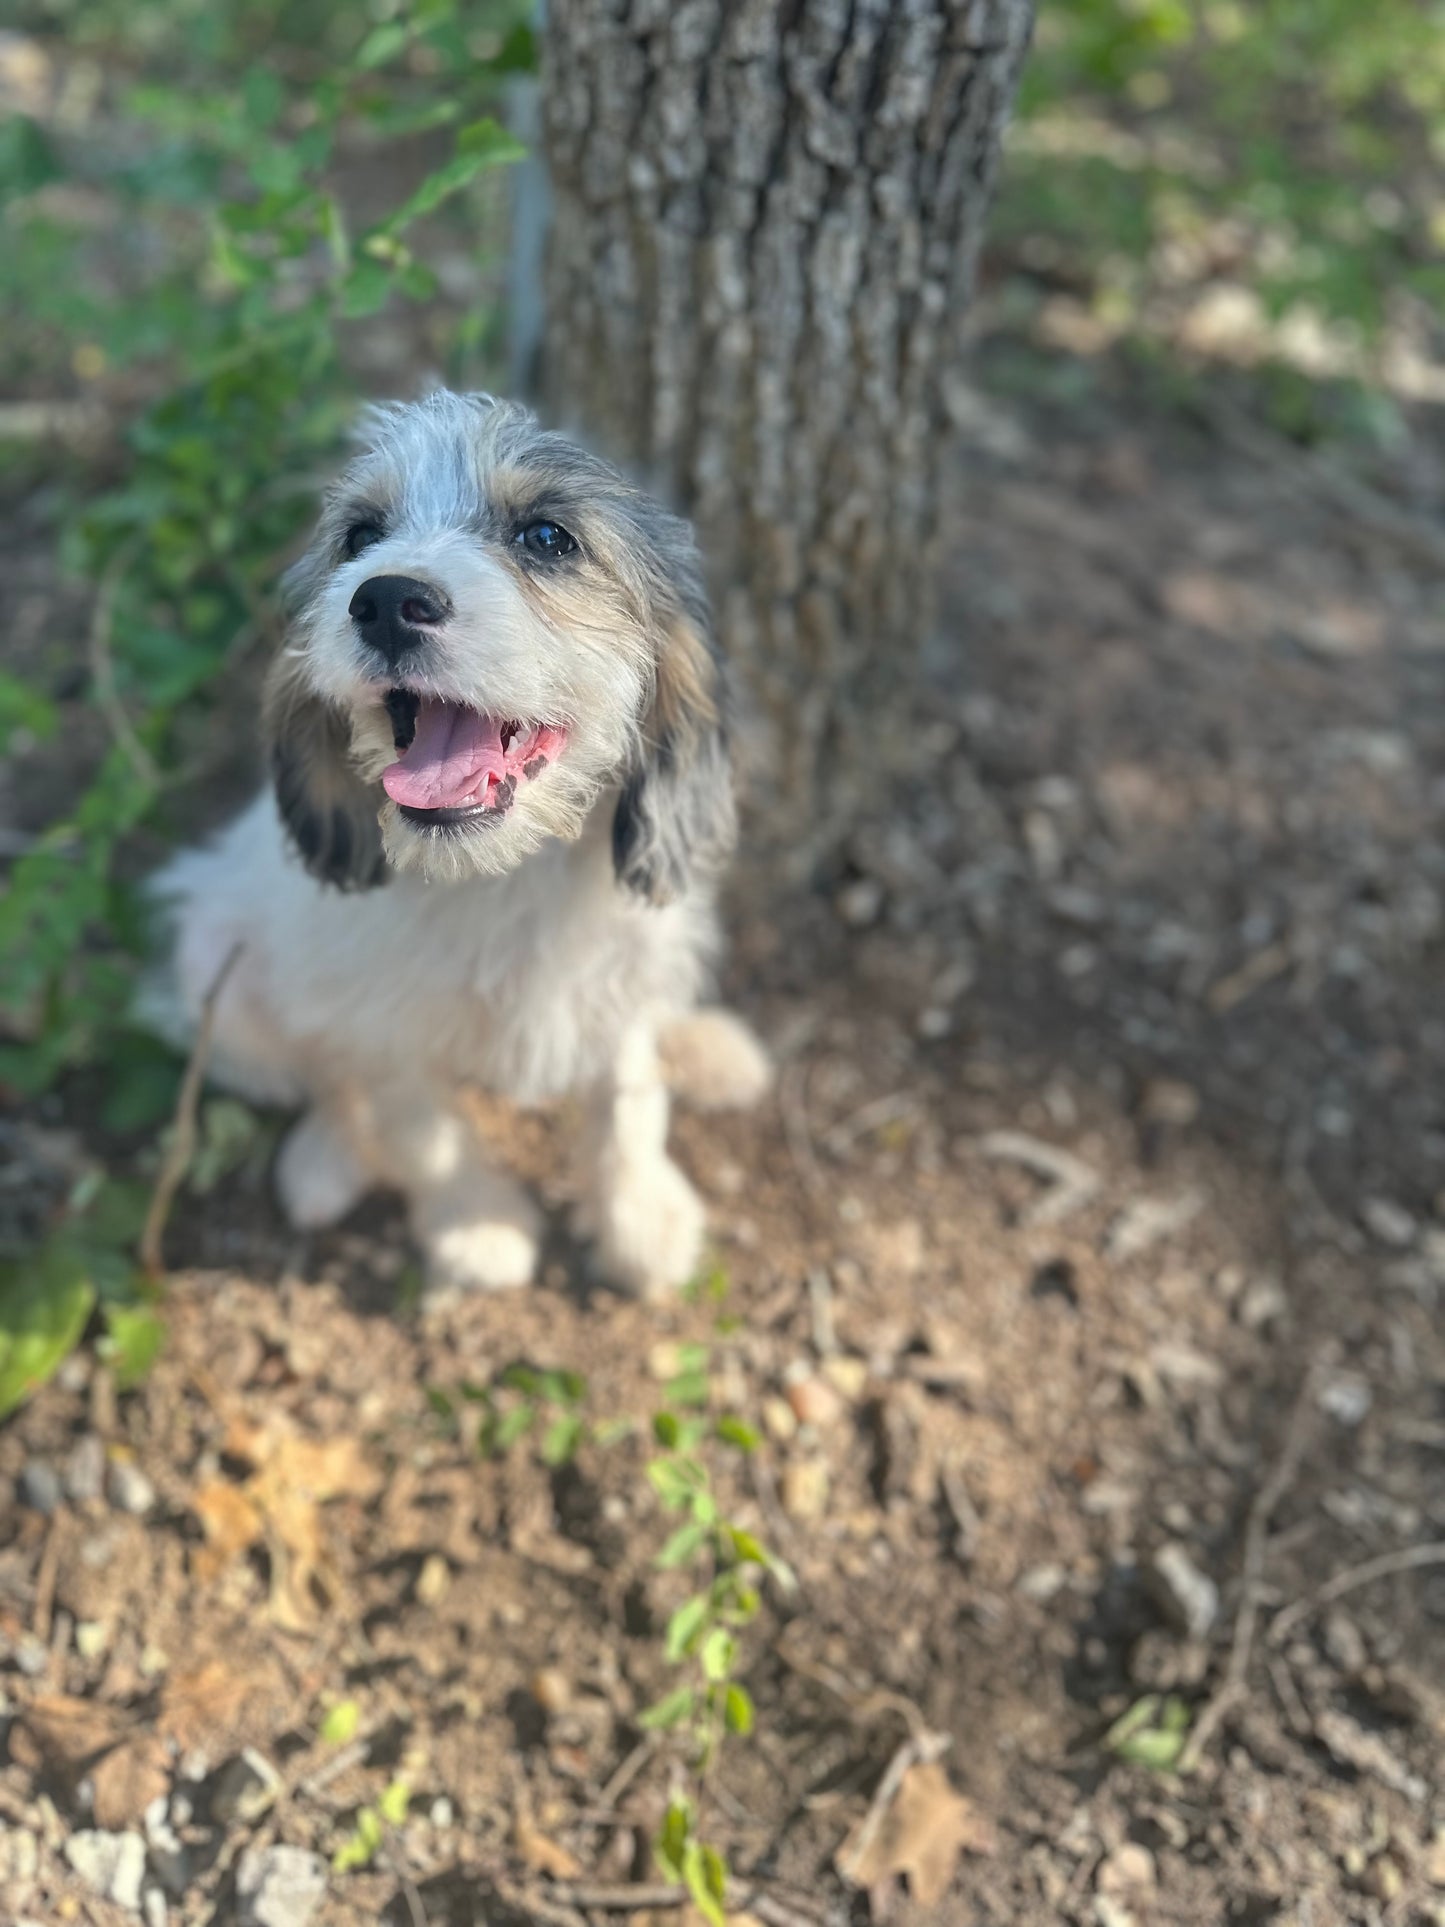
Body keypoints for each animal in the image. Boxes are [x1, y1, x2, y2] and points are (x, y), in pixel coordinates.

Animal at [150, 389, 770, 1294]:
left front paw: (639, 1220)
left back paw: (708, 1048)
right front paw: (475, 1227)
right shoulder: (383, 1029)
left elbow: (626, 1098)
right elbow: (424, 1132)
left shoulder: (625, 965)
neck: (501, 876)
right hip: (213, 976)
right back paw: (323, 1159)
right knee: (322, 1077)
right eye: (359, 536)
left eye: (546, 537)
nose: (381, 600)